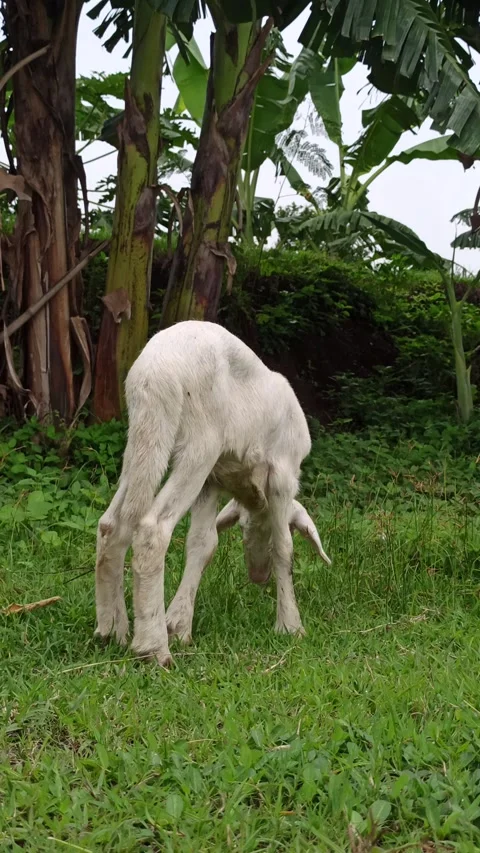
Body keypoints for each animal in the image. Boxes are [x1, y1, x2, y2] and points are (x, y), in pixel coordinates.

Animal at [94, 320, 331, 667]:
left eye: (243, 528)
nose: (258, 576)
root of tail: (154, 371)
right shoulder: (283, 475)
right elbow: (284, 548)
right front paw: (290, 625)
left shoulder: (213, 481)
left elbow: (203, 544)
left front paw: (179, 625)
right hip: (199, 444)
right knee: (153, 528)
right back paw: (152, 647)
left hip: (145, 438)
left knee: (113, 524)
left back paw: (113, 630)